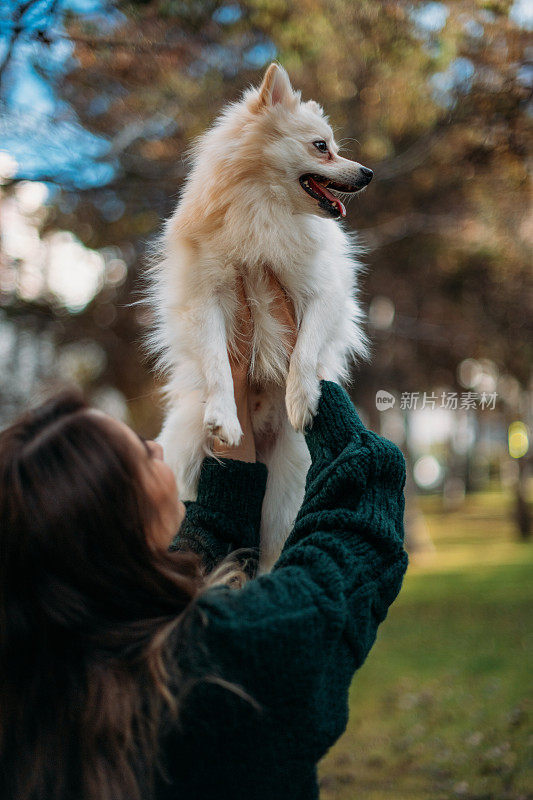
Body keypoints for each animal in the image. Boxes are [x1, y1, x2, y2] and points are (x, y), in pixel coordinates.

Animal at [148, 65, 372, 572]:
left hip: (287, 493)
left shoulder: (324, 295)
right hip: (188, 458)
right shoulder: (206, 300)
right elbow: (216, 363)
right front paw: (224, 415)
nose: (368, 172)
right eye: (322, 146)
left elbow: (304, 352)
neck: (265, 209)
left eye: (334, 144)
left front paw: (301, 399)